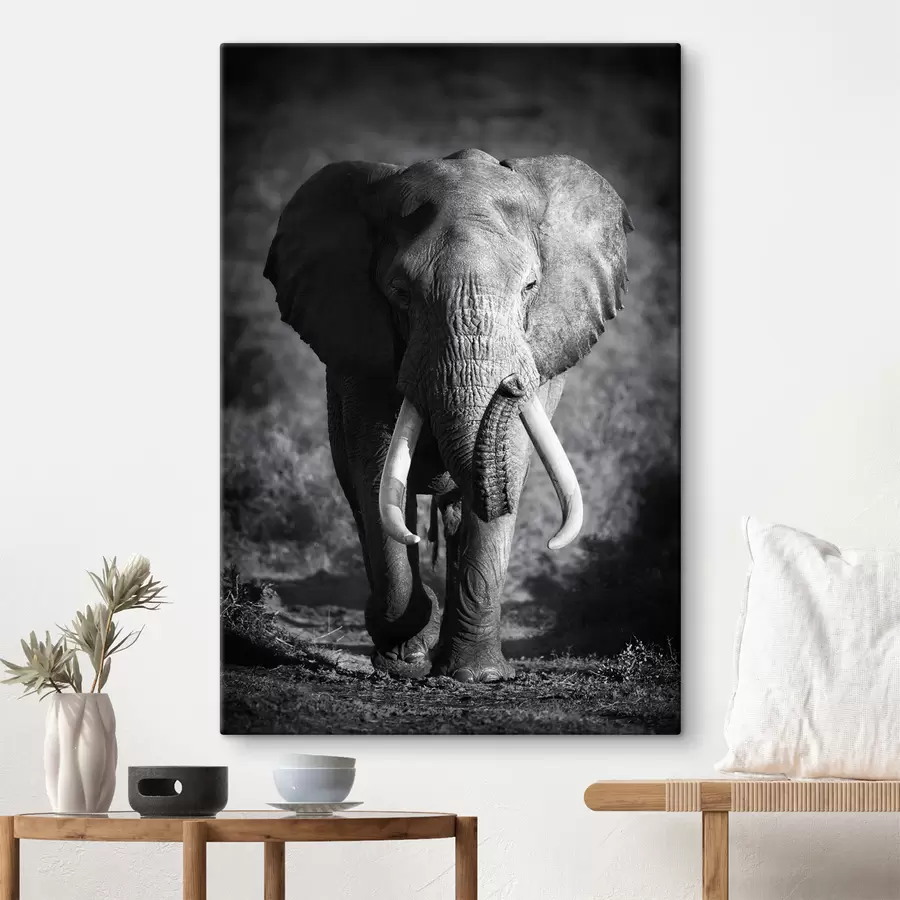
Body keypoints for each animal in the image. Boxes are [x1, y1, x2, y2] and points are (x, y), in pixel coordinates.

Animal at [264, 148, 632, 683]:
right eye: (400, 292)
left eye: (530, 287)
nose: (512, 384)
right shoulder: (361, 352)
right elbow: (375, 471)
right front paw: (405, 658)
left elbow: (509, 463)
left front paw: (478, 676)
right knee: (361, 496)